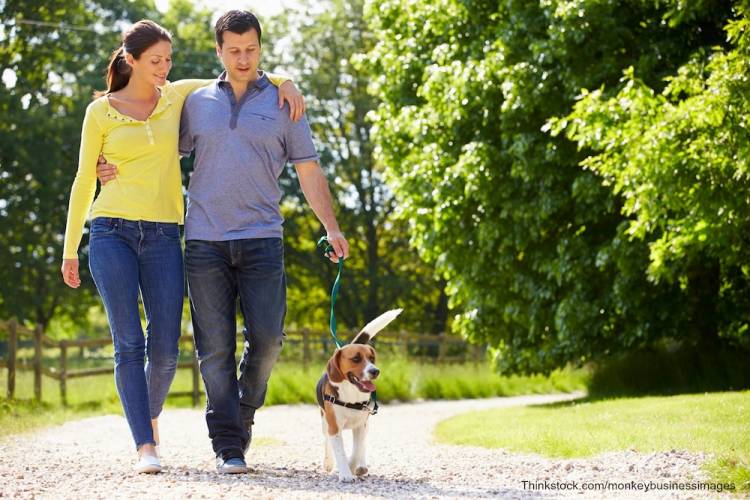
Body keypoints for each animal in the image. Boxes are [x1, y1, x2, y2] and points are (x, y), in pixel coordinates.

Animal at [314, 308, 402, 480]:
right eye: (356, 359)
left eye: (372, 358)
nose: (375, 371)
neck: (351, 395)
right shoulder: (334, 427)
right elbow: (339, 451)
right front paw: (345, 474)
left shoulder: (361, 425)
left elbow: (357, 449)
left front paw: (353, 466)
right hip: (324, 421)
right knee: (327, 440)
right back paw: (328, 463)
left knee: (361, 445)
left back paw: (361, 465)